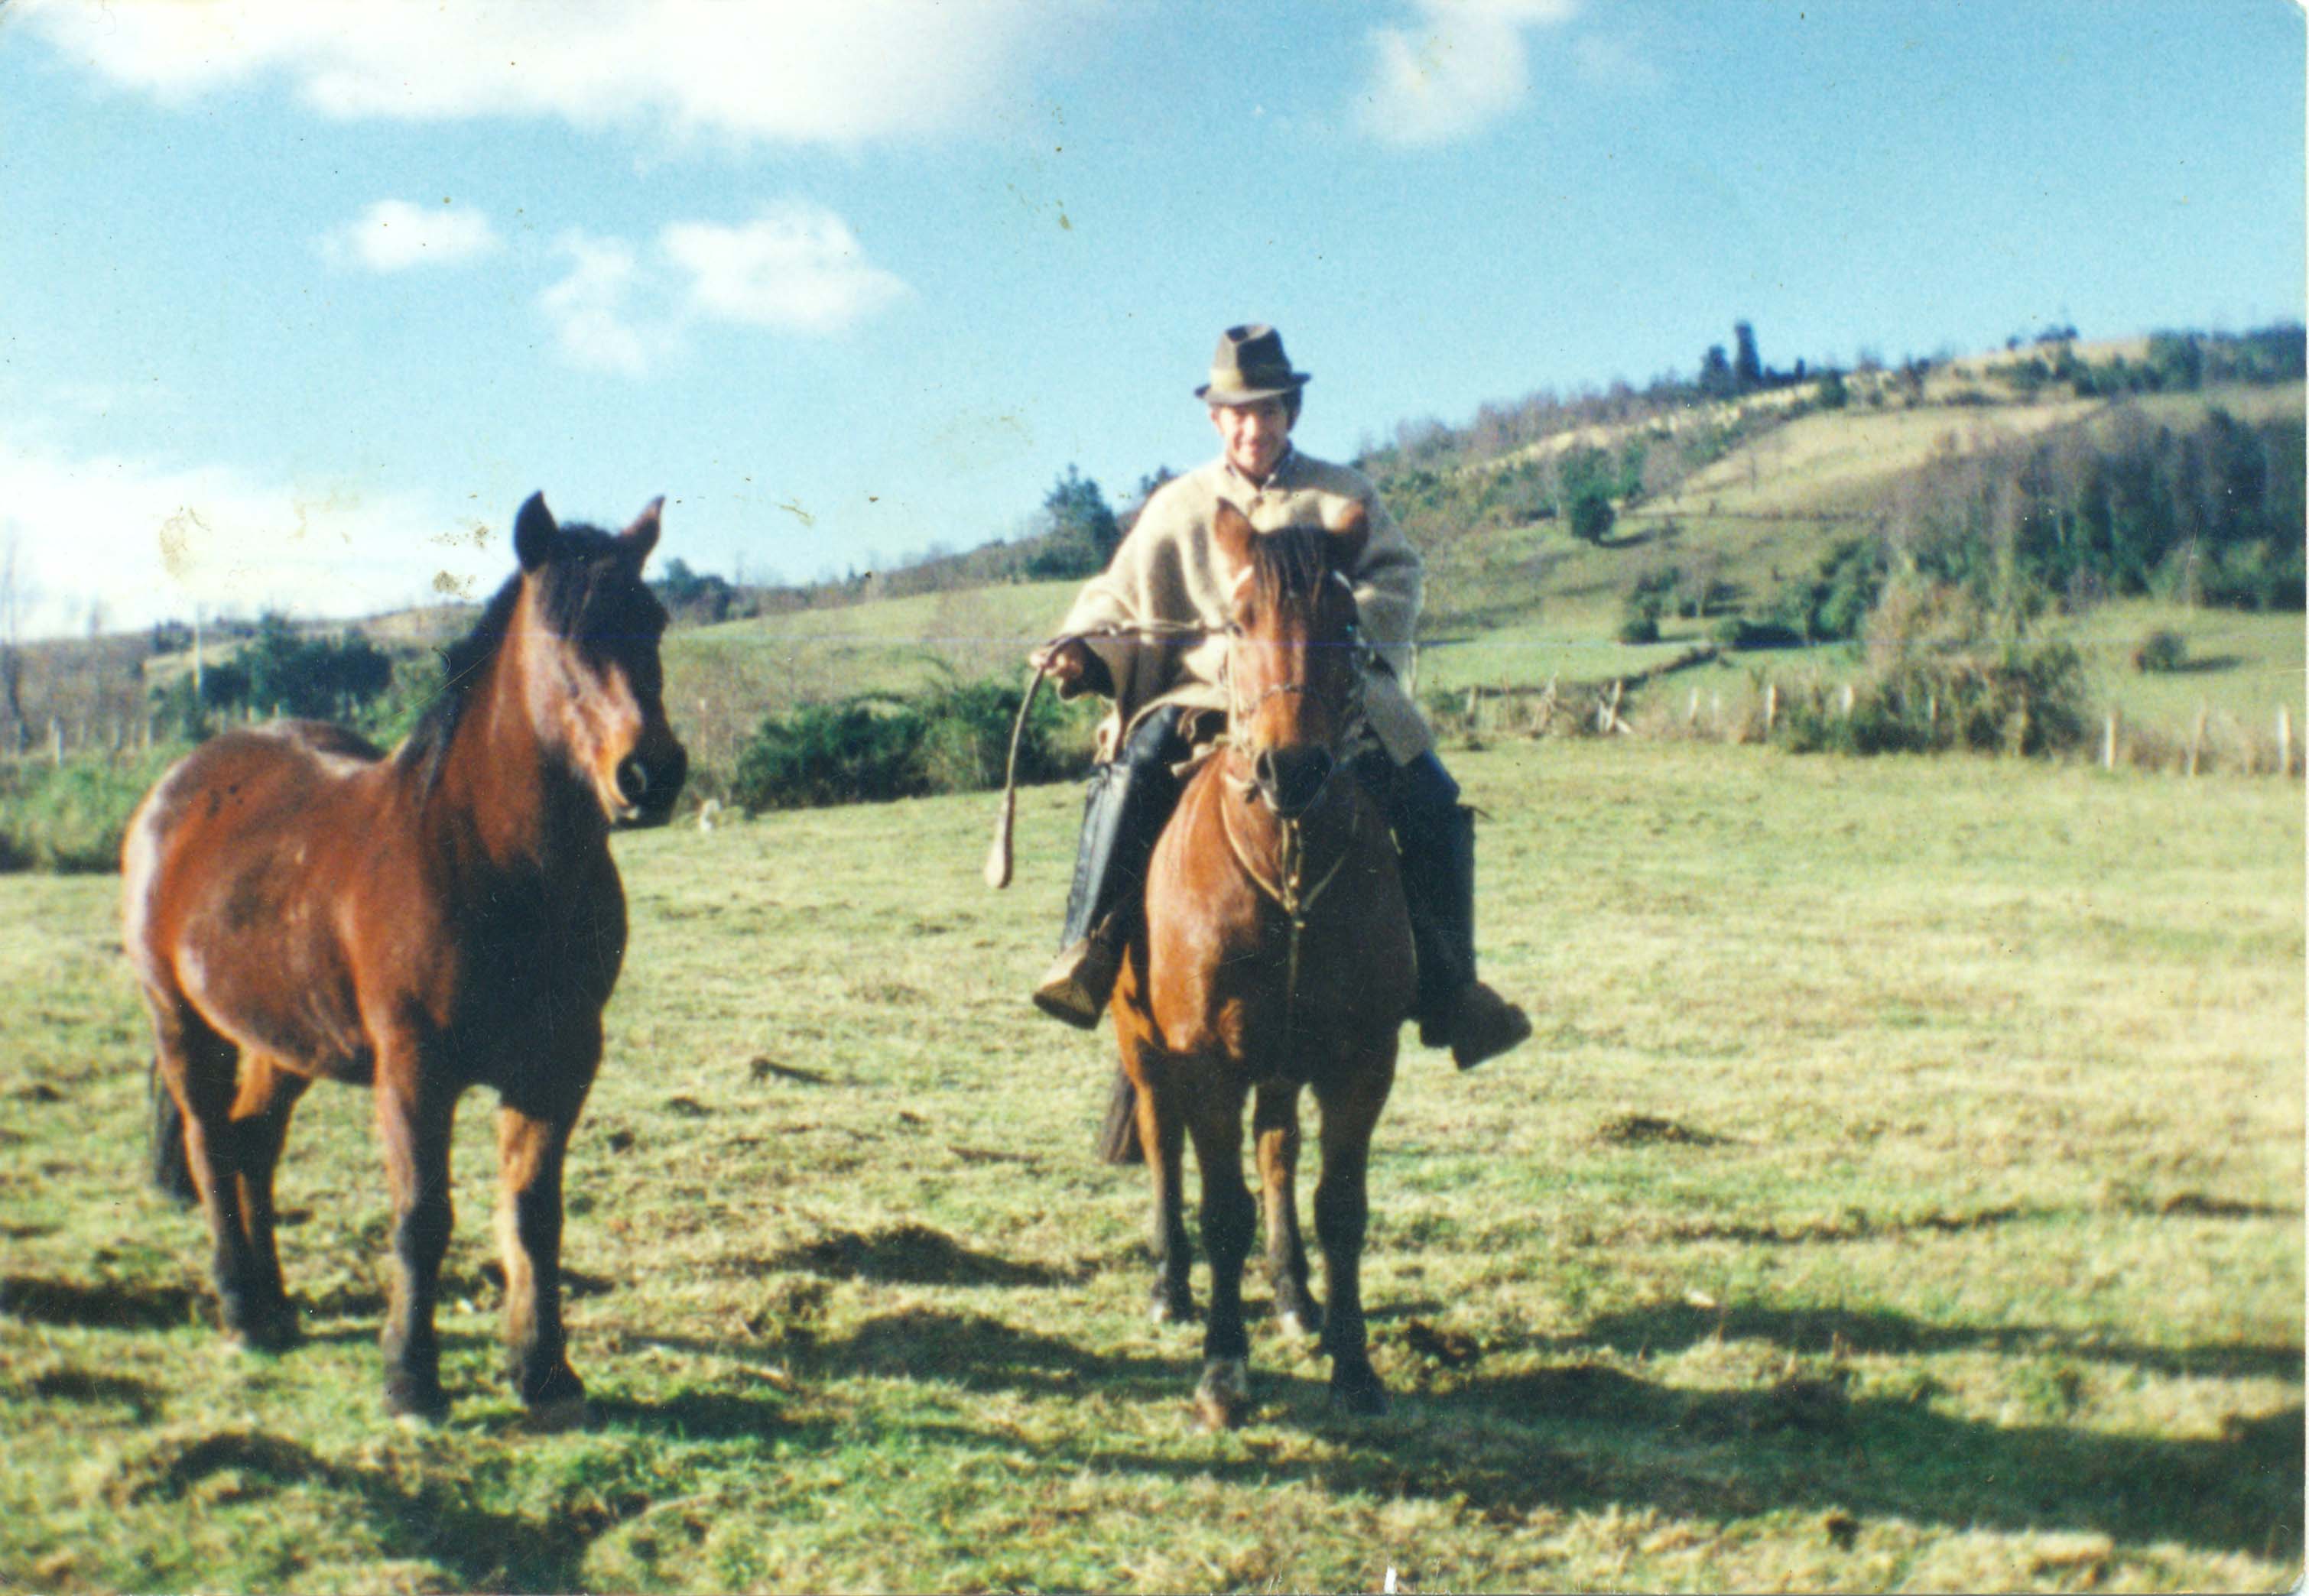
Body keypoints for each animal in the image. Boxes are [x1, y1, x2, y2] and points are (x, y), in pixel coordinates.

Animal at [124, 496, 683, 1422]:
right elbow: (423, 1217)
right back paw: (240, 1306)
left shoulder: (560, 1063)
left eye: (655, 619)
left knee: (253, 1144)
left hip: (285, 1040)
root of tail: (176, 791)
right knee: (209, 1143)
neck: (491, 861)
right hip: (181, 1022)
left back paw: (276, 1308)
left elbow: (533, 1213)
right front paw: (411, 1379)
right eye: (559, 629)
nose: (650, 774)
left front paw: (544, 1371)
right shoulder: (415, 1068)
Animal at [1108, 498, 1413, 1422]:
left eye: (1346, 623)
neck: (1287, 870)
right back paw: (1171, 1287)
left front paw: (1354, 1365)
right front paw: (1222, 1371)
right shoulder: (1204, 1061)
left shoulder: (1361, 1062)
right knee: (1162, 1145)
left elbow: (1338, 1207)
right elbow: (1221, 1211)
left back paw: (1293, 1296)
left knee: (1277, 1153)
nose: (1292, 768)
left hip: (1279, 1064)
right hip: (1143, 1047)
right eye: (1237, 622)